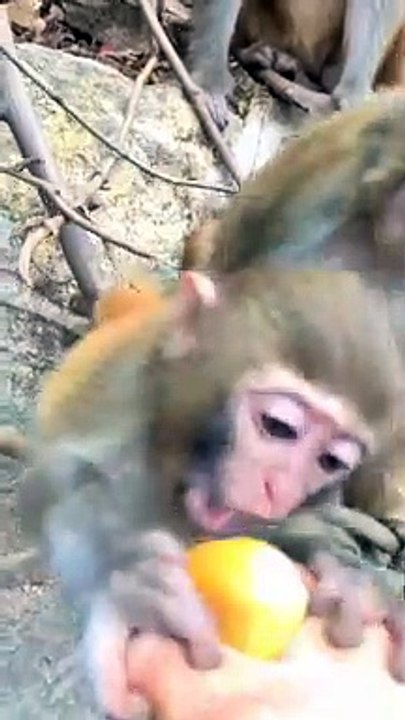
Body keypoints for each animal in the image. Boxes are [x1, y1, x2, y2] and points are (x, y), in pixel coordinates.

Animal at [7, 264, 405, 717]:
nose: (276, 490)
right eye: (279, 426)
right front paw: (128, 570)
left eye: (331, 461)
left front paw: (341, 569)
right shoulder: (121, 414)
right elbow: (48, 497)